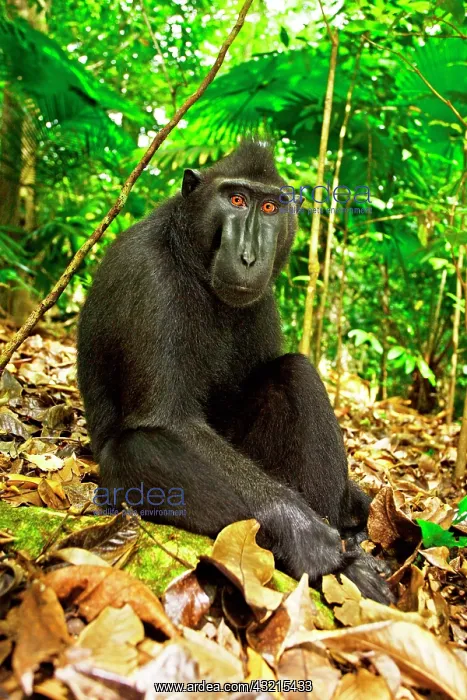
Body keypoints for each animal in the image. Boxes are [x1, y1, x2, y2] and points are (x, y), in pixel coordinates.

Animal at [77, 141, 392, 604]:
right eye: (237, 200)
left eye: (269, 207)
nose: (248, 256)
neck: (189, 256)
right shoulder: (150, 277)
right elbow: (169, 422)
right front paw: (309, 537)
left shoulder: (264, 300)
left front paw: (352, 512)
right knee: (133, 451)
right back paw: (337, 563)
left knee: (293, 374)